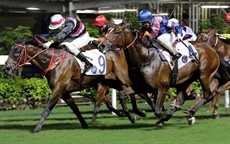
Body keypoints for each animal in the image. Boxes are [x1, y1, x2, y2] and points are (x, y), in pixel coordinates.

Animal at [2, 36, 140, 133]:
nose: (6, 69)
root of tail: (118, 49)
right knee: (122, 94)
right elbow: (76, 109)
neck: (54, 61)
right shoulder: (65, 93)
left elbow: (47, 109)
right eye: (10, 50)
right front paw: (84, 124)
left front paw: (37, 128)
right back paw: (131, 113)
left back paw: (136, 113)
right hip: (109, 81)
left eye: (17, 51)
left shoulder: (58, 90)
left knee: (131, 90)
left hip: (121, 78)